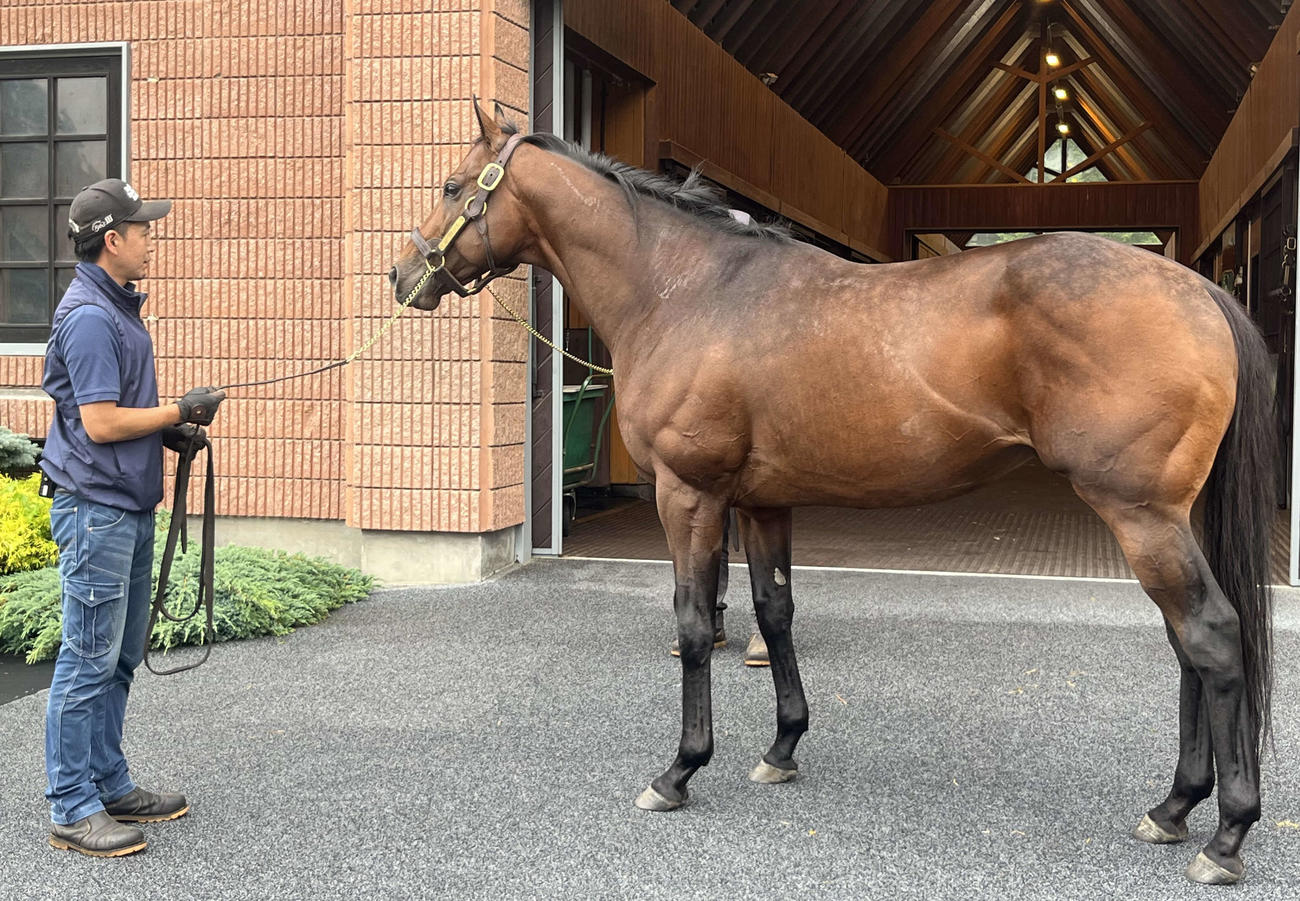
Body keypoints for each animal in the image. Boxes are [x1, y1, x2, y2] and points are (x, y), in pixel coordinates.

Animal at [389, 100, 1276, 885]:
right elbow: (775, 611)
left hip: (1141, 515)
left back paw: (1224, 835)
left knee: (1210, 635)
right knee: (1186, 645)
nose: (402, 275)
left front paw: (679, 770)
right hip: (1165, 518)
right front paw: (782, 748)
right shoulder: (761, 503)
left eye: (451, 184)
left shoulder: (690, 495)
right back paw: (1173, 807)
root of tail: (1199, 291)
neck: (686, 290)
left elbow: (692, 621)